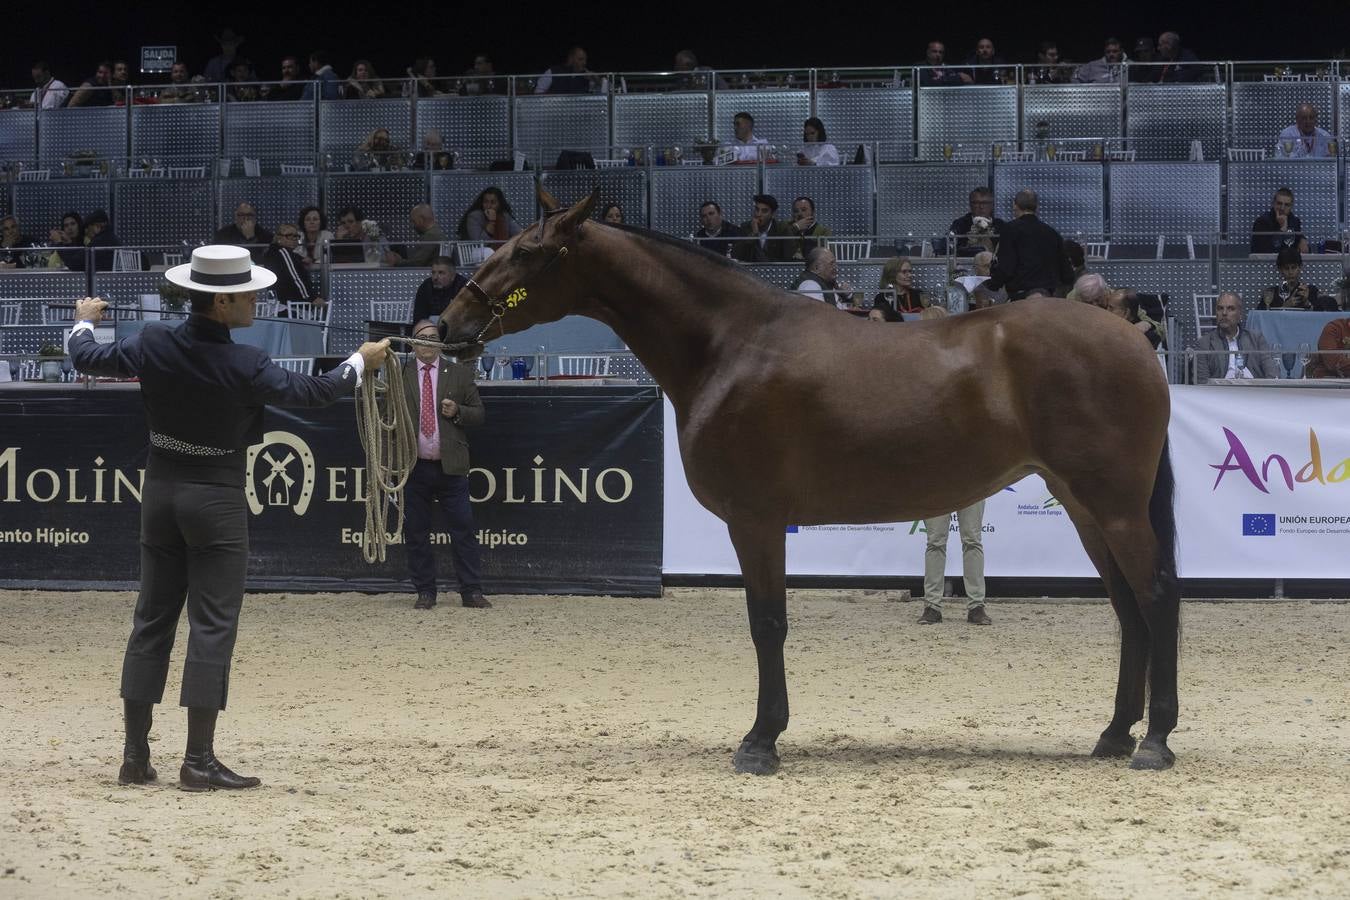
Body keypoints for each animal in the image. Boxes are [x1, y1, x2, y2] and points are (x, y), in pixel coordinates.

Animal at [439, 190, 1180, 775]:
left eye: (527, 253)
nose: (448, 324)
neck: (729, 345)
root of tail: (1131, 340)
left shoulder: (756, 519)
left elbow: (767, 622)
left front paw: (760, 742)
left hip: (1113, 506)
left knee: (1156, 596)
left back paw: (1156, 742)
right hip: (1085, 508)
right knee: (1126, 607)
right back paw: (1116, 734)